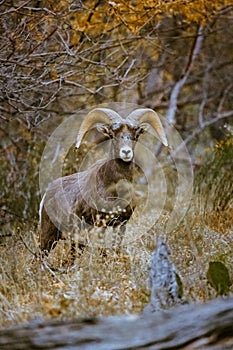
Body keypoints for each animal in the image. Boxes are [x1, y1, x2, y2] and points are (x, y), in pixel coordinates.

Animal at [40, 108, 167, 256]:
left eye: (135, 135)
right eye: (112, 135)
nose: (126, 152)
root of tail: (46, 195)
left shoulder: (120, 224)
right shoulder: (101, 224)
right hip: (48, 236)